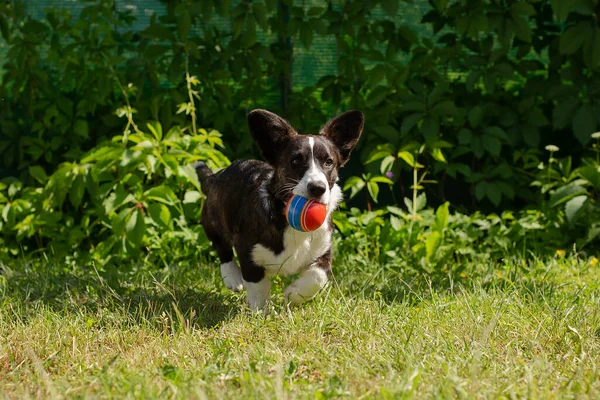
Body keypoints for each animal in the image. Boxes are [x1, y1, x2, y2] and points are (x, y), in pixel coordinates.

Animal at [197, 110, 364, 312]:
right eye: (295, 161)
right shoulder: (248, 253)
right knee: (222, 247)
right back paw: (233, 278)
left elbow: (317, 277)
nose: (317, 188)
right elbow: (258, 287)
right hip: (213, 220)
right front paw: (261, 312)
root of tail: (216, 176)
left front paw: (294, 294)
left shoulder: (323, 252)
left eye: (329, 162)